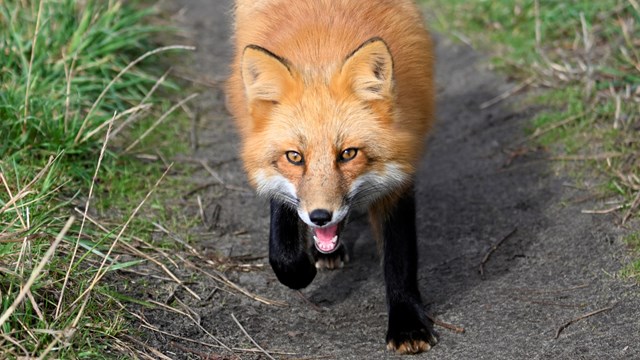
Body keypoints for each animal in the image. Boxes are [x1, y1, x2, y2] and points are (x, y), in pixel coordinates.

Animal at [224, 0, 436, 354]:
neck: (322, 48)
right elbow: (282, 248)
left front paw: (407, 324)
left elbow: (400, 257)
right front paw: (300, 269)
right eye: (294, 157)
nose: (320, 216)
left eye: (348, 154)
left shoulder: (398, 175)